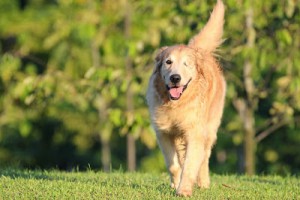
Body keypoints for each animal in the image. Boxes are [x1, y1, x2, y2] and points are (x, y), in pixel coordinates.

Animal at [145, 0, 225, 197]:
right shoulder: (164, 132)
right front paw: (176, 184)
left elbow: (190, 165)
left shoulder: (195, 132)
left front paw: (184, 190)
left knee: (204, 157)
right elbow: (173, 165)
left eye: (186, 64)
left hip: (210, 128)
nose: (175, 78)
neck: (176, 104)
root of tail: (200, 50)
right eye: (168, 62)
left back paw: (203, 182)